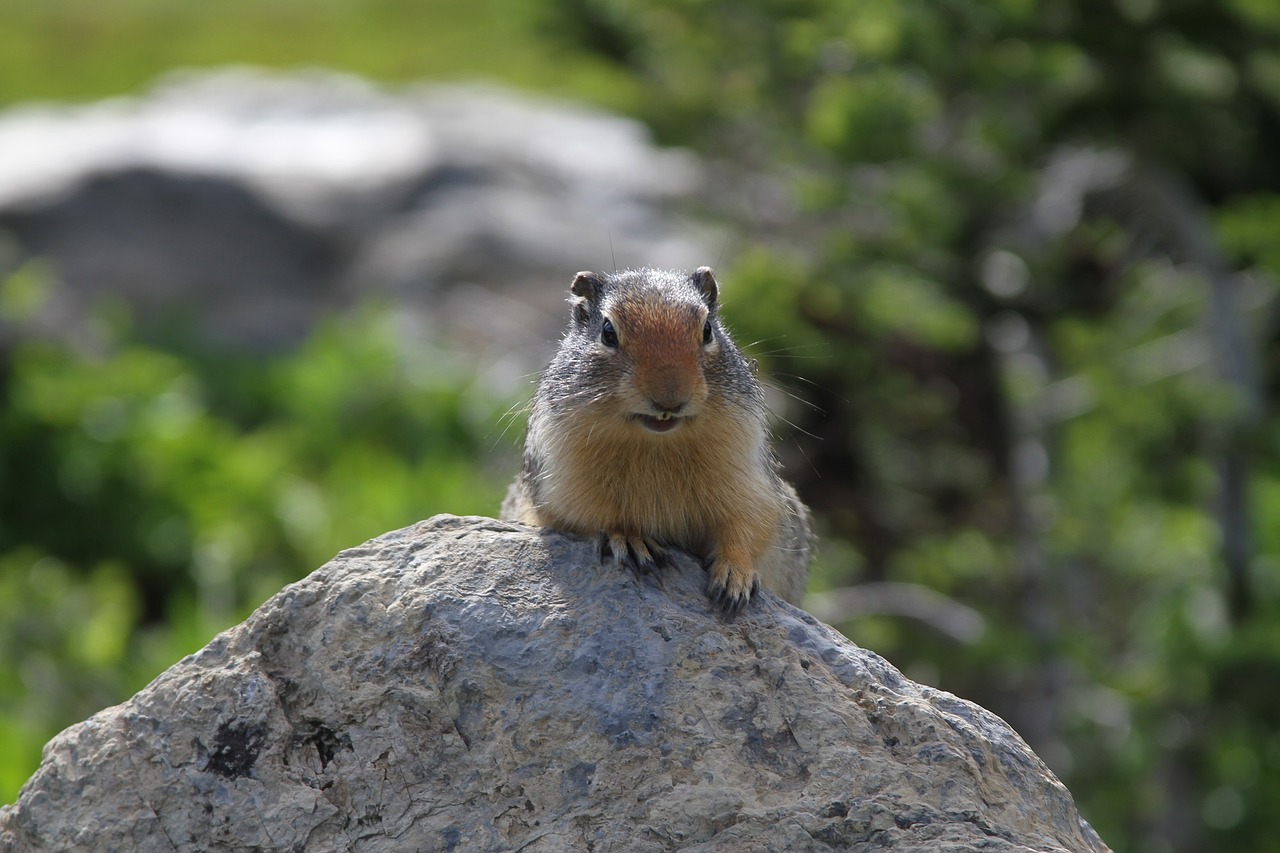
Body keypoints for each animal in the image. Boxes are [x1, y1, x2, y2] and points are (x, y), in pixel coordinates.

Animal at [504, 266, 814, 612]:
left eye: (708, 330)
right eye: (608, 332)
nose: (670, 398)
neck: (656, 445)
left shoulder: (750, 477)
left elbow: (749, 524)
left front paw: (735, 576)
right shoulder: (561, 482)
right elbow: (592, 515)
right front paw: (630, 539)